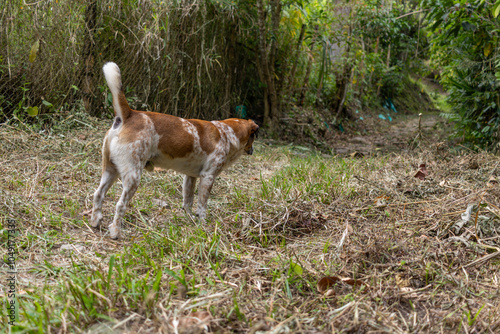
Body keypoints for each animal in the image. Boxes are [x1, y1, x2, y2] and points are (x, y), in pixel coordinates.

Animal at [90, 62, 260, 239]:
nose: (253, 150)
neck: (226, 133)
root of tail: (129, 114)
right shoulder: (208, 177)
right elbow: (202, 206)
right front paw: (203, 225)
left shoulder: (190, 177)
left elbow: (188, 202)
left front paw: (190, 219)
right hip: (133, 177)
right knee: (120, 205)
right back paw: (115, 231)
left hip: (110, 170)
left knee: (98, 194)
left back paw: (95, 221)